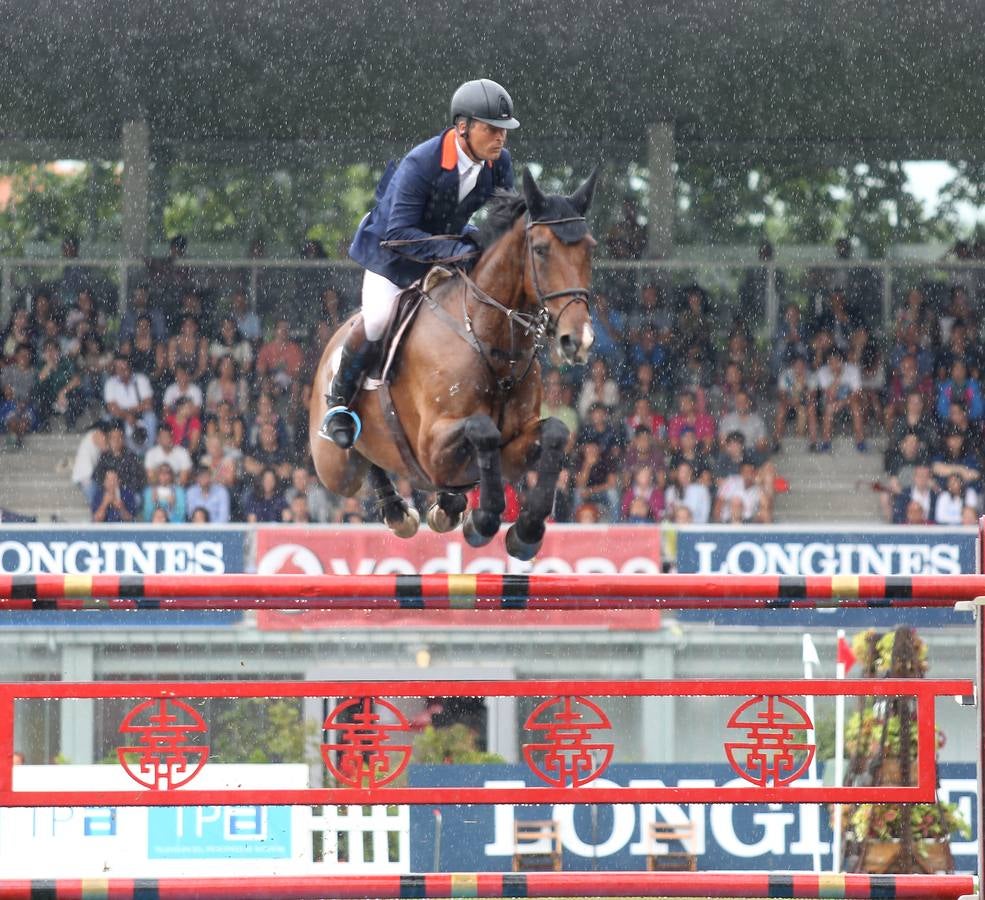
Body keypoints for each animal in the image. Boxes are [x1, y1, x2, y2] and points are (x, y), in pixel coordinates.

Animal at [312, 169, 596, 560]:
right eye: (540, 250)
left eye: (590, 249)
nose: (578, 339)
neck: (489, 341)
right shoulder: (431, 447)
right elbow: (482, 429)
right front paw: (485, 519)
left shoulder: (514, 445)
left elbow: (555, 431)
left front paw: (526, 530)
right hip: (335, 469)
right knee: (358, 457)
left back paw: (438, 507)